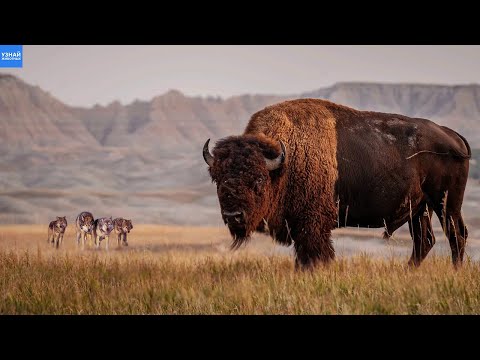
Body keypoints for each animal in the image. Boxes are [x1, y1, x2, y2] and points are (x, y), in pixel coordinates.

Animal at [202, 99, 468, 270]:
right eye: (218, 179)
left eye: (258, 179)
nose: (234, 216)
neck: (284, 161)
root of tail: (452, 135)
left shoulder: (312, 225)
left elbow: (315, 255)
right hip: (420, 208)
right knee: (425, 241)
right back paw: (407, 272)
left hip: (446, 203)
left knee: (456, 234)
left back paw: (455, 272)